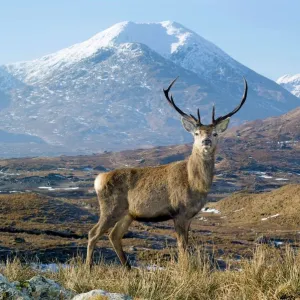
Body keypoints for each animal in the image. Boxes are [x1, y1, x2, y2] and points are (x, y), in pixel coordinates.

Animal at [86, 77, 248, 268]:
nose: (206, 141)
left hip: (128, 213)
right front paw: (185, 269)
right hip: (110, 207)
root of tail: (99, 179)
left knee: (114, 235)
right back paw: (88, 268)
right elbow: (182, 247)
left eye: (215, 133)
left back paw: (128, 268)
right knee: (93, 233)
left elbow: (186, 245)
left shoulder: (189, 215)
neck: (195, 184)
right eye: (196, 133)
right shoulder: (179, 212)